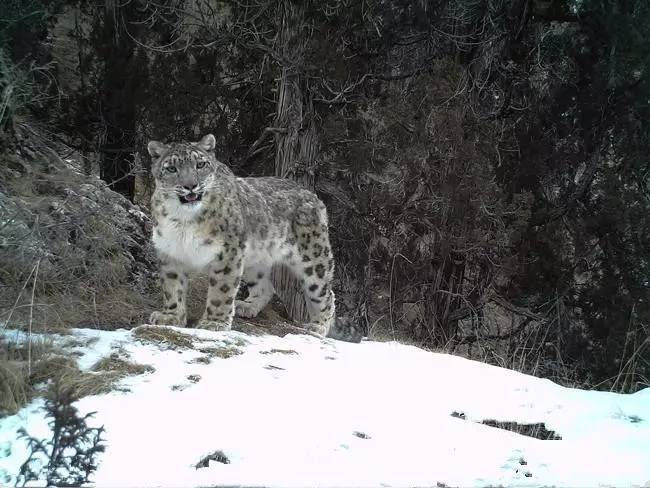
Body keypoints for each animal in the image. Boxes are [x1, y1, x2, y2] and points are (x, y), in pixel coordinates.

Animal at [145, 132, 362, 342]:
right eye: (171, 168)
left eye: (200, 164)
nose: (190, 185)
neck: (183, 219)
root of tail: (314, 196)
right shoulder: (170, 252)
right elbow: (173, 288)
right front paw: (170, 317)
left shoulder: (228, 252)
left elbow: (221, 290)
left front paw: (214, 323)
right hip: (254, 259)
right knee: (266, 287)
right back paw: (246, 306)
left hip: (313, 258)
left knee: (325, 293)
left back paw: (318, 326)